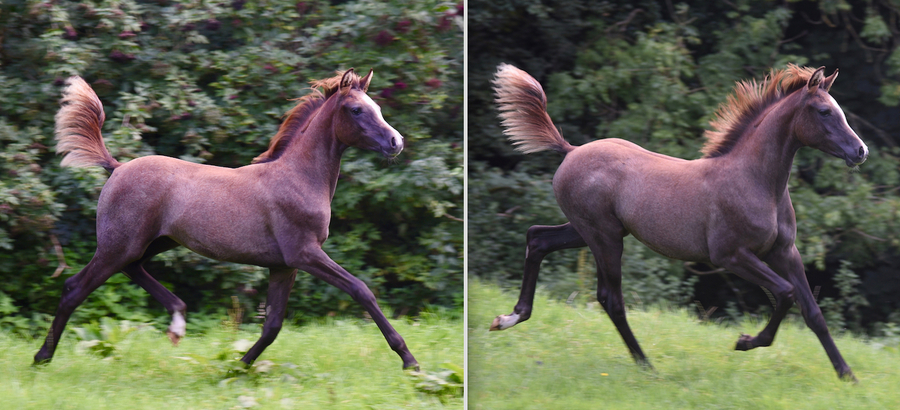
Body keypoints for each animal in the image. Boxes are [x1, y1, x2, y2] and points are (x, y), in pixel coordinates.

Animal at [31, 68, 418, 372]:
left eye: (377, 108)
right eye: (356, 110)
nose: (396, 142)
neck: (299, 177)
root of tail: (117, 167)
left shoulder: (283, 265)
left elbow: (272, 325)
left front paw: (238, 366)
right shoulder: (304, 253)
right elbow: (361, 290)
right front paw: (409, 360)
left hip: (150, 243)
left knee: (133, 270)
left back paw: (177, 321)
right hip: (118, 245)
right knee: (74, 288)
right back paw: (42, 358)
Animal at [488, 64, 868, 382]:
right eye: (824, 111)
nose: (860, 151)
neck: (755, 181)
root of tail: (570, 150)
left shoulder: (784, 252)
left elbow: (812, 311)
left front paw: (847, 375)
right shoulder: (731, 256)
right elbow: (786, 293)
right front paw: (745, 341)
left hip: (588, 231)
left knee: (537, 238)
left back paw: (509, 317)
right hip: (604, 237)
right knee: (610, 298)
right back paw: (647, 366)